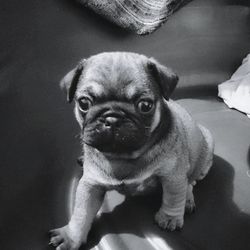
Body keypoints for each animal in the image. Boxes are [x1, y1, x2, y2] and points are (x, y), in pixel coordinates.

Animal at [48, 51, 213, 249]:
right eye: (84, 103)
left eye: (145, 105)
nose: (112, 118)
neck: (123, 156)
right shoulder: (90, 185)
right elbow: (81, 213)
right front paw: (71, 237)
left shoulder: (172, 176)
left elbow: (173, 197)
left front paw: (169, 218)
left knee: (189, 182)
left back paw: (187, 199)